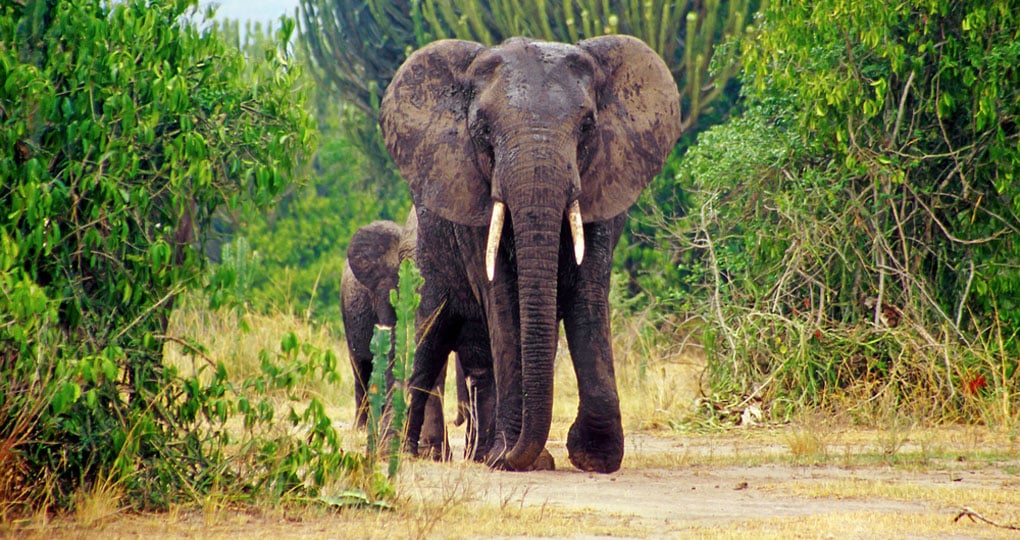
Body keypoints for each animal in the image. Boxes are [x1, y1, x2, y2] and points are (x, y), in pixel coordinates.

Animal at [379, 35, 681, 473]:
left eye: (587, 126)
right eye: (483, 130)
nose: (515, 452)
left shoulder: (602, 186)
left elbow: (588, 295)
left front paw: (593, 456)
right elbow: (503, 301)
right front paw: (509, 456)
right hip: (420, 258)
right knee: (424, 338)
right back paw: (401, 451)